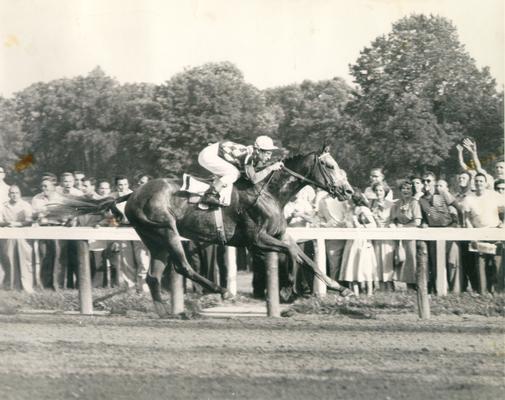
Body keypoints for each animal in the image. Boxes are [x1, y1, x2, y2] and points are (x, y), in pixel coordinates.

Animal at [55, 146, 352, 316]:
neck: (267, 191)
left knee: (153, 276)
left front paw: (339, 287)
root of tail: (134, 193)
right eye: (330, 165)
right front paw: (289, 289)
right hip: (166, 230)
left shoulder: (278, 235)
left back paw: (166, 312)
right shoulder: (256, 240)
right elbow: (291, 254)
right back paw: (220, 289)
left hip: (154, 241)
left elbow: (305, 257)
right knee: (182, 266)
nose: (349, 191)